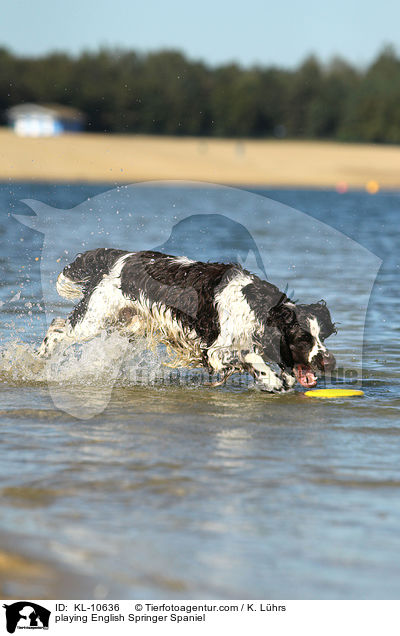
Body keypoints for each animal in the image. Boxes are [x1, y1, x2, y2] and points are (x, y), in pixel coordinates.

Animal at [38, 250, 338, 392]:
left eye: (323, 336)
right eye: (302, 338)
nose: (329, 362)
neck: (258, 307)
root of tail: (118, 257)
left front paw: (281, 379)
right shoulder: (216, 350)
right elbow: (250, 357)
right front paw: (272, 380)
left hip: (127, 326)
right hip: (92, 320)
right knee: (56, 327)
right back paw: (40, 357)